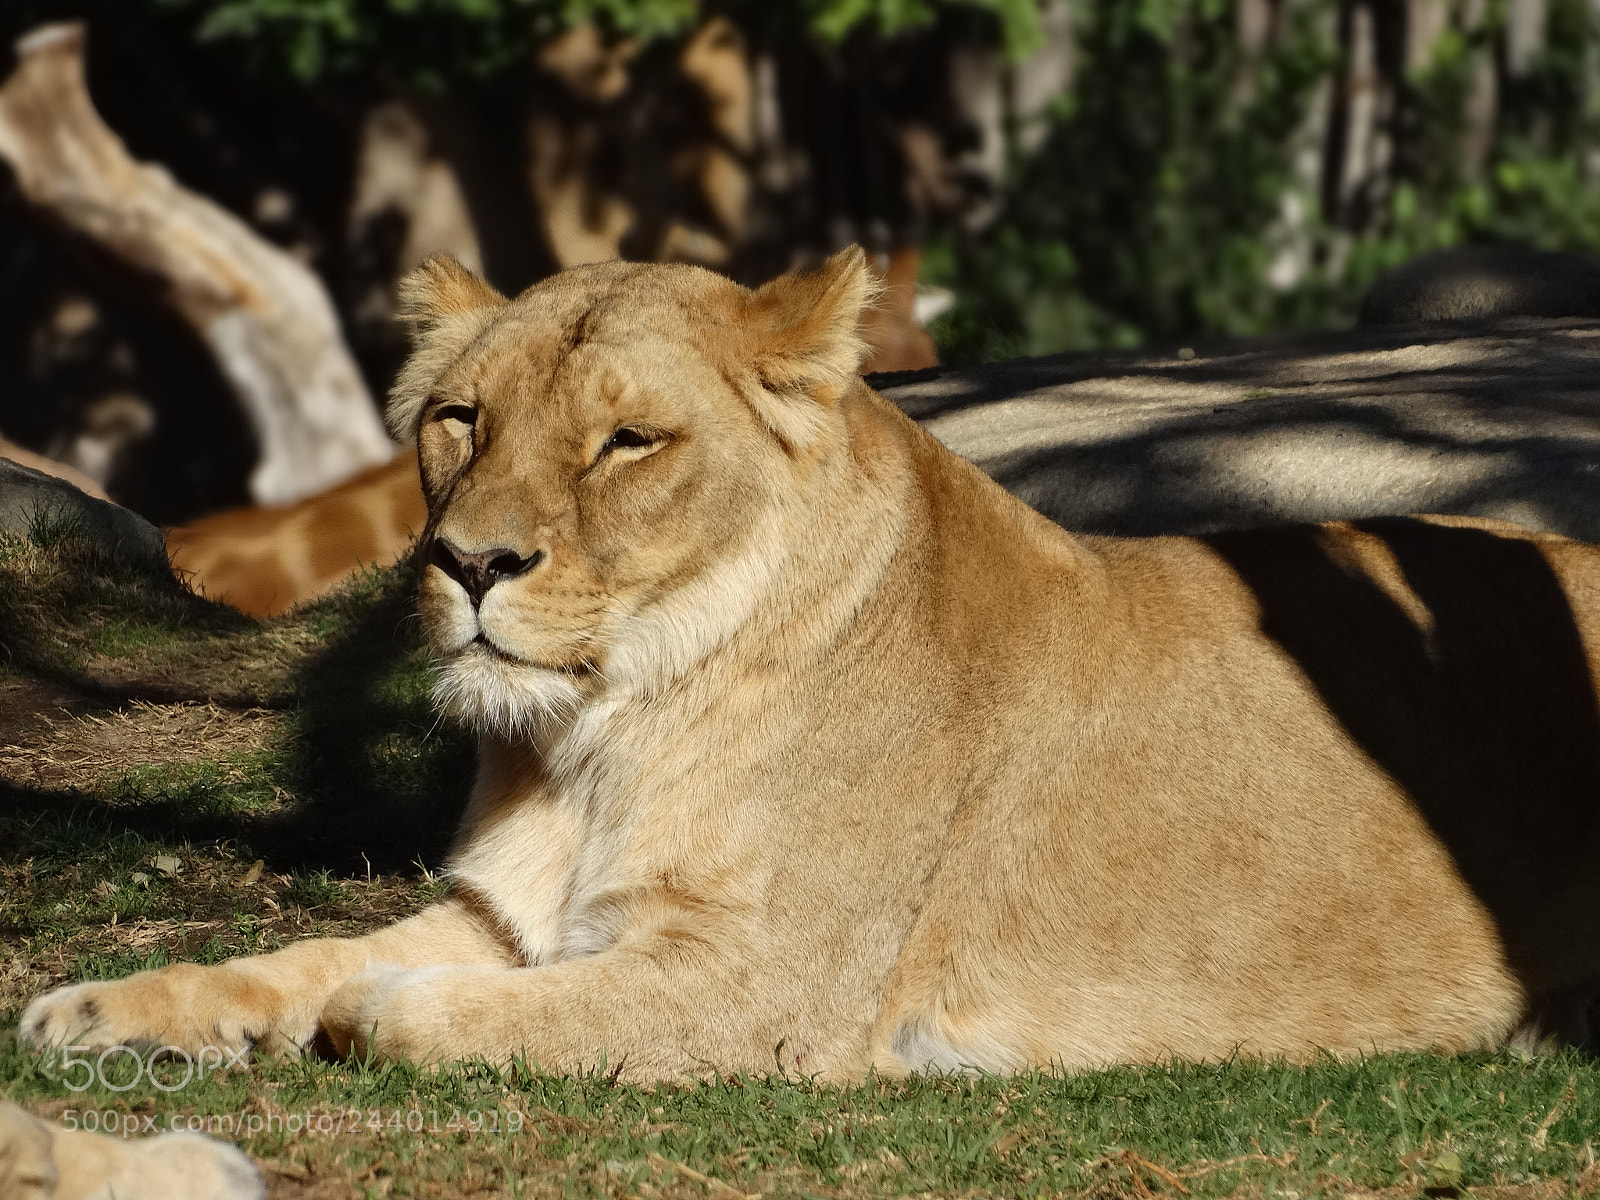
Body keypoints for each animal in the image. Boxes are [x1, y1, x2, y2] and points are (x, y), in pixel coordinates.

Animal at [17, 247, 1600, 1091]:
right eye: (461, 420)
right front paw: (98, 1010)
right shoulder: (505, 915)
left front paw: (368, 1021)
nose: (470, 566)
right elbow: (301, 958)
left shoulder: (765, 985)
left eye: (626, 442)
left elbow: (405, 1009)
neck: (599, 733)